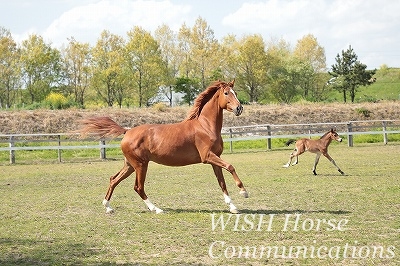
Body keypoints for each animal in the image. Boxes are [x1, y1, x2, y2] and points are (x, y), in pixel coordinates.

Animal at [77, 79, 247, 214]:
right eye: (226, 93)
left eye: (236, 92)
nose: (239, 108)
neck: (205, 126)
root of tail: (127, 131)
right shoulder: (208, 157)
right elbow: (230, 166)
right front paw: (243, 192)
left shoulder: (215, 159)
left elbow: (222, 182)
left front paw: (233, 207)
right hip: (141, 165)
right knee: (138, 187)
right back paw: (156, 209)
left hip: (130, 165)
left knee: (114, 179)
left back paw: (108, 207)